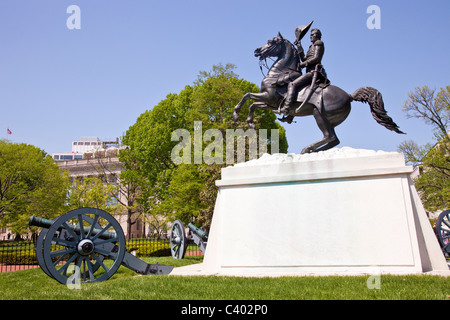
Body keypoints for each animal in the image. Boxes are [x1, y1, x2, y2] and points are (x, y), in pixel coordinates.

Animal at [232, 32, 404, 154]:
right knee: (334, 139)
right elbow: (253, 104)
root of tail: (349, 96)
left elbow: (247, 96)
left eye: (271, 42)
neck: (279, 73)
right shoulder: (271, 104)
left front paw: (236, 115)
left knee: (329, 136)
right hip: (330, 119)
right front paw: (250, 123)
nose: (256, 51)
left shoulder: (269, 97)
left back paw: (307, 149)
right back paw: (314, 151)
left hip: (319, 113)